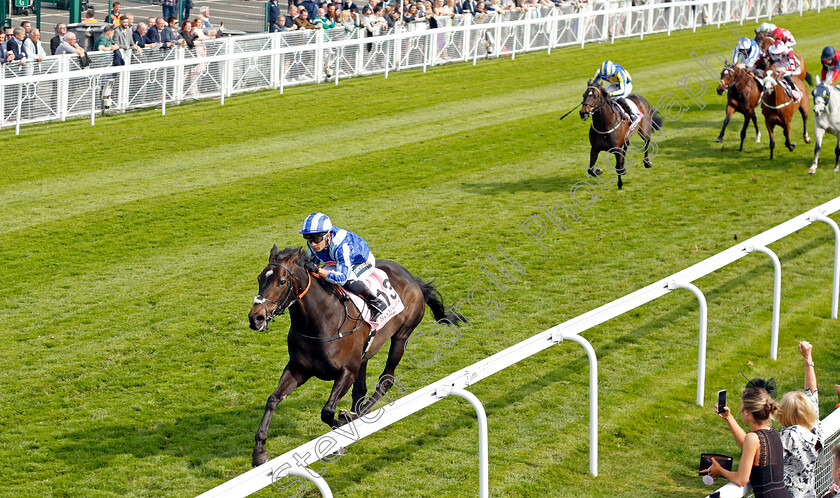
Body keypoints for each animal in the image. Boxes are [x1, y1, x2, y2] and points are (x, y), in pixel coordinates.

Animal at [246, 245, 466, 466]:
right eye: (259, 278)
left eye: (282, 282)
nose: (256, 318)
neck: (320, 322)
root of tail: (411, 278)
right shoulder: (298, 369)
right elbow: (273, 399)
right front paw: (259, 450)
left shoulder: (347, 371)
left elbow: (327, 411)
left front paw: (340, 433)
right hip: (364, 354)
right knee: (361, 389)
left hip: (402, 335)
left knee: (386, 380)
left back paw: (359, 414)